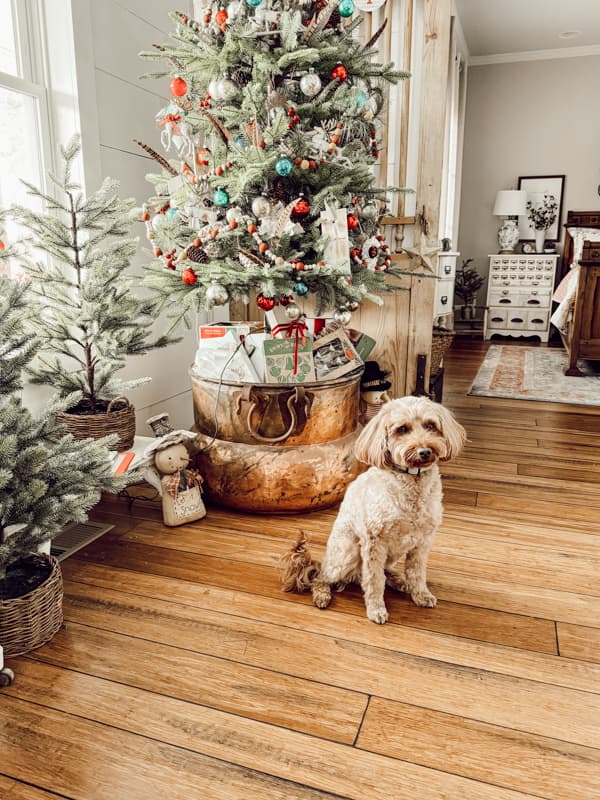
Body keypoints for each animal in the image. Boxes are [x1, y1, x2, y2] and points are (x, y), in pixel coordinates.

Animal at [278, 396, 466, 620]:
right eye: (402, 429)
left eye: (431, 425)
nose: (424, 451)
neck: (411, 482)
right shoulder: (374, 542)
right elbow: (374, 580)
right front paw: (376, 609)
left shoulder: (422, 542)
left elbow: (417, 572)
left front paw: (421, 595)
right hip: (347, 552)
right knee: (323, 576)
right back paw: (322, 595)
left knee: (381, 572)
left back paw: (399, 580)